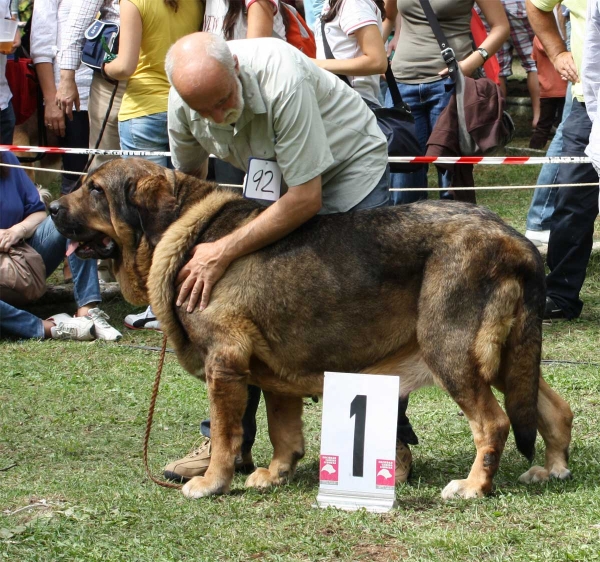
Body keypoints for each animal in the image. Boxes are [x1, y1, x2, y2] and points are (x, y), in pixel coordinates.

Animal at [50, 158, 572, 498]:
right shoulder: (272, 372)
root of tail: (517, 241)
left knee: (494, 423)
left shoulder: (224, 363)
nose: (52, 209)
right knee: (551, 408)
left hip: (451, 351)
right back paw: (552, 470)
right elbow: (283, 431)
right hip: (506, 355)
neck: (184, 228)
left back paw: (473, 486)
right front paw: (275, 475)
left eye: (96, 190)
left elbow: (227, 434)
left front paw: (213, 482)